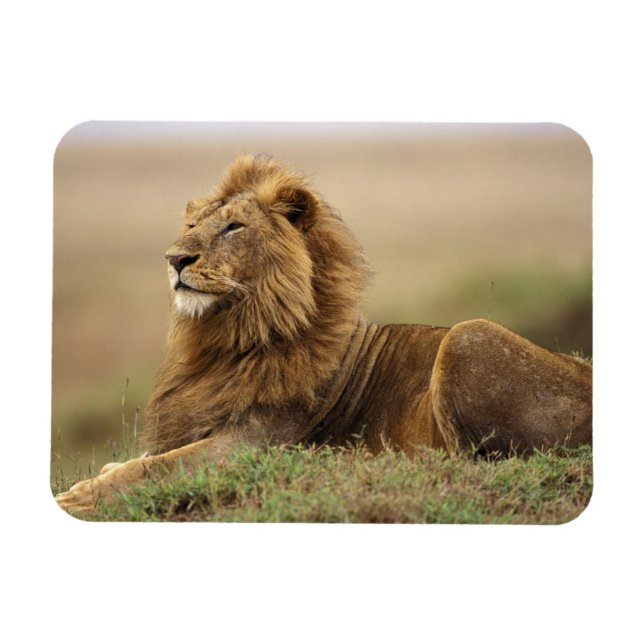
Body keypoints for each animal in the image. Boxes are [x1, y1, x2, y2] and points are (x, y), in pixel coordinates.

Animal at [55, 154, 592, 515]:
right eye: (190, 224)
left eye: (233, 227)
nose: (174, 259)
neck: (227, 338)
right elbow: (140, 458)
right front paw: (97, 477)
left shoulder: (253, 444)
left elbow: (154, 467)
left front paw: (77, 495)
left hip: (468, 335)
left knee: (468, 462)